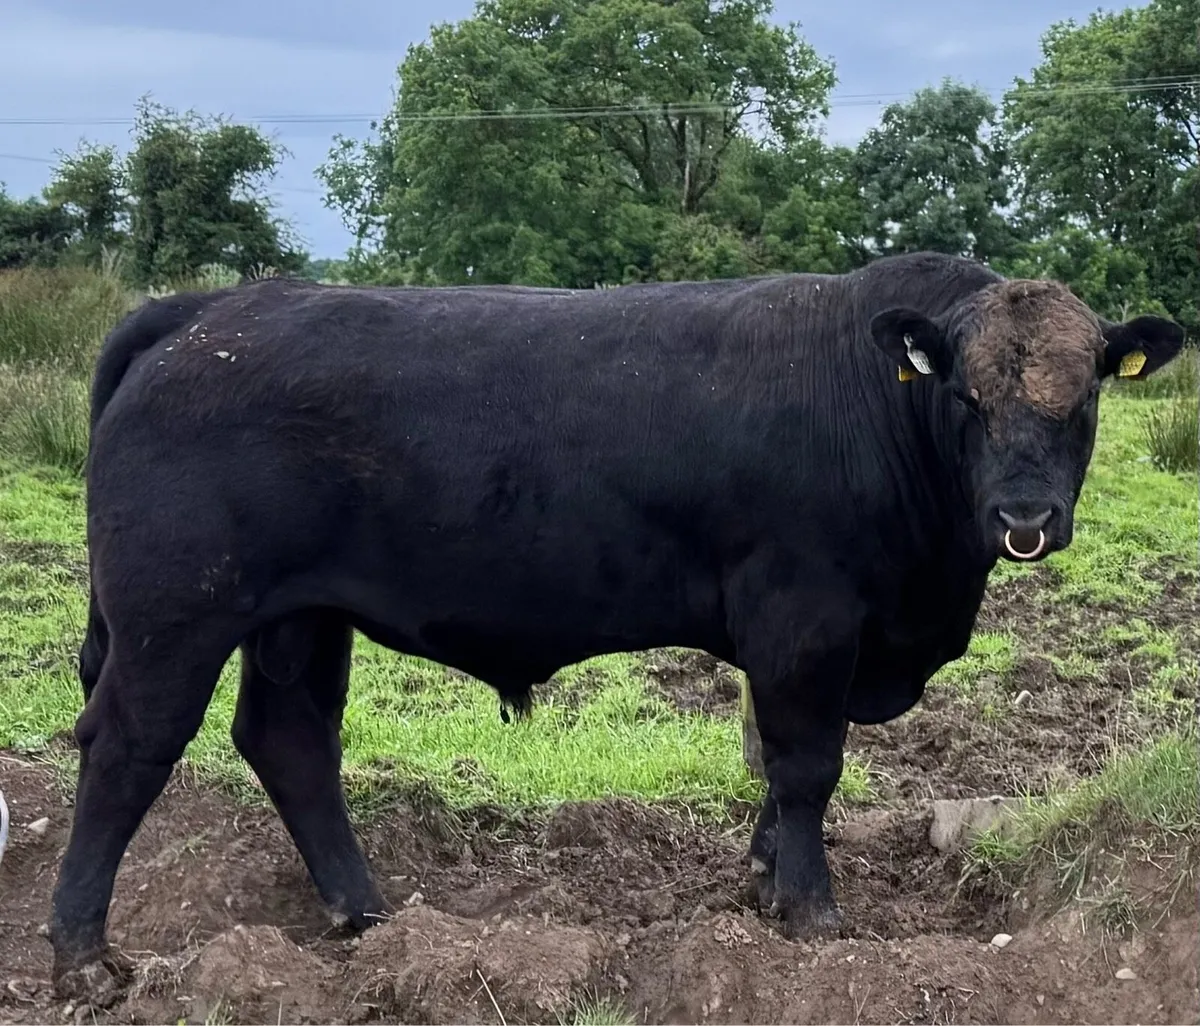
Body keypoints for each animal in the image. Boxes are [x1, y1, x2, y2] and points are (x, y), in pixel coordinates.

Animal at [48, 251, 1184, 1002]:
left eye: (1084, 399)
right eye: (968, 397)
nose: (1025, 518)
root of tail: (214, 307)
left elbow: (779, 775)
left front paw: (765, 881)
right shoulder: (804, 621)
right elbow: (805, 766)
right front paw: (812, 910)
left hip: (300, 617)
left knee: (289, 741)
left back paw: (364, 913)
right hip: (175, 616)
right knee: (128, 749)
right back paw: (81, 953)